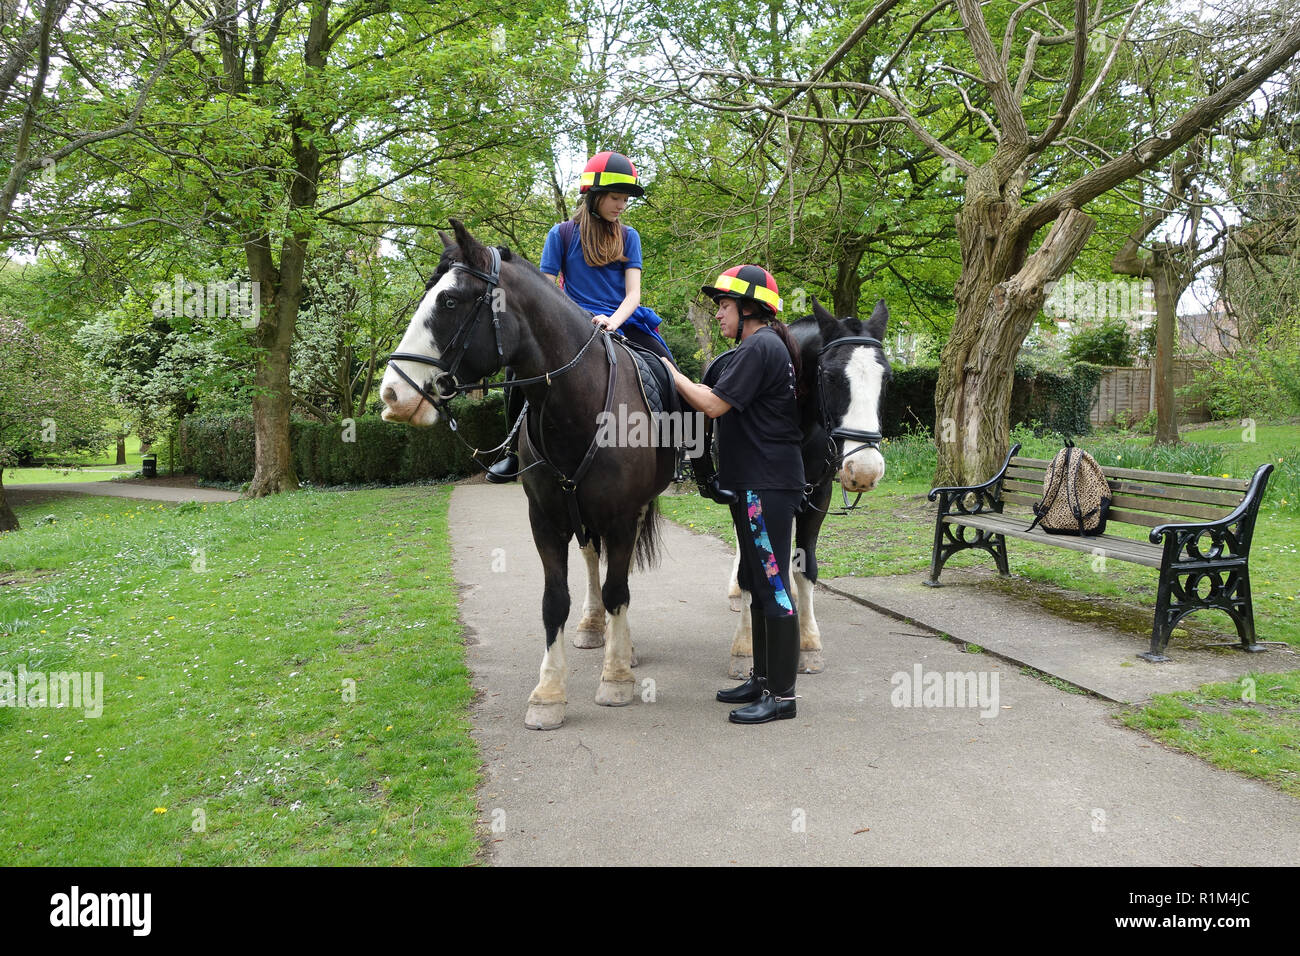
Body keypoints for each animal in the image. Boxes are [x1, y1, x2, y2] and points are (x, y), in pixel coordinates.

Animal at [379, 221, 676, 728]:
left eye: (450, 301)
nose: (392, 394)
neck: (579, 404)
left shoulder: (621, 515)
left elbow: (619, 588)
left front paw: (615, 678)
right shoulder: (545, 518)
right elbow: (555, 600)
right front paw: (549, 693)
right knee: (593, 559)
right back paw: (597, 628)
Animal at [717, 300, 889, 681]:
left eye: (886, 377)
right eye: (831, 376)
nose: (865, 470)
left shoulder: (817, 498)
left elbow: (804, 566)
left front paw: (809, 643)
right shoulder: (743, 495)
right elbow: (750, 569)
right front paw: (743, 647)